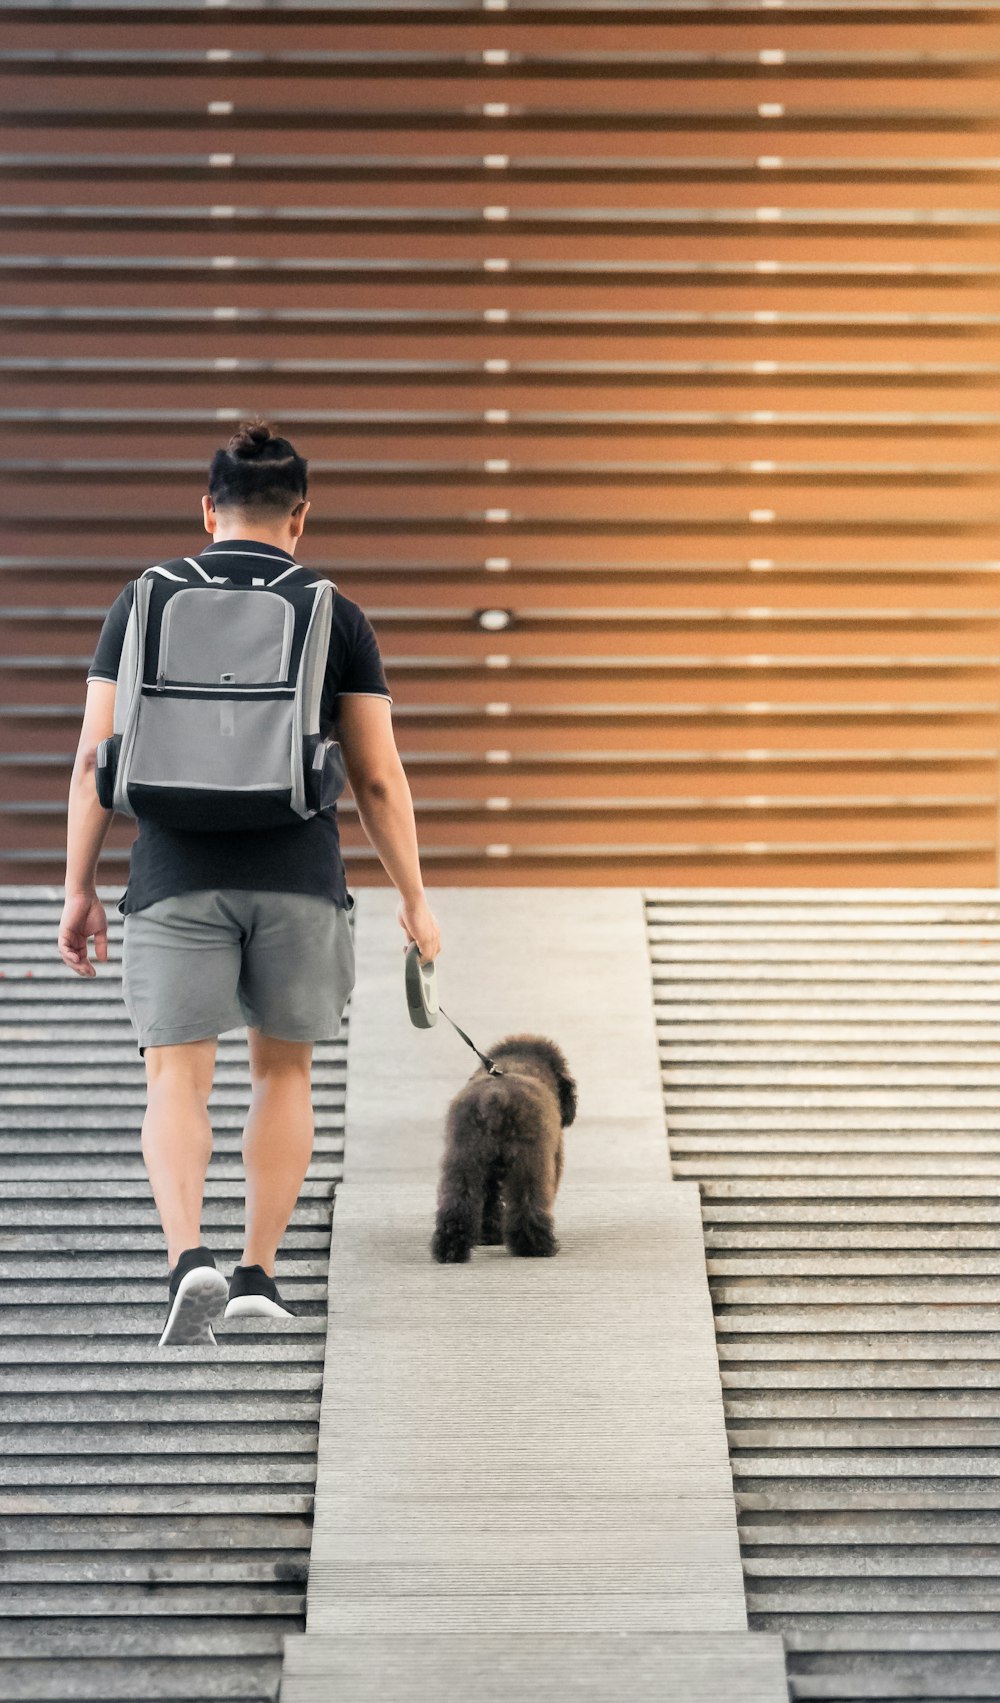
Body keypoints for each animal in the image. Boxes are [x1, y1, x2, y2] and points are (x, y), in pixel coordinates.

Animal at [431, 1028, 579, 1260]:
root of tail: (496, 1098)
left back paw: (451, 1248)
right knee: (527, 1206)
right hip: (528, 1166)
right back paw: (535, 1246)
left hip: (463, 1164)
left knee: (458, 1204)